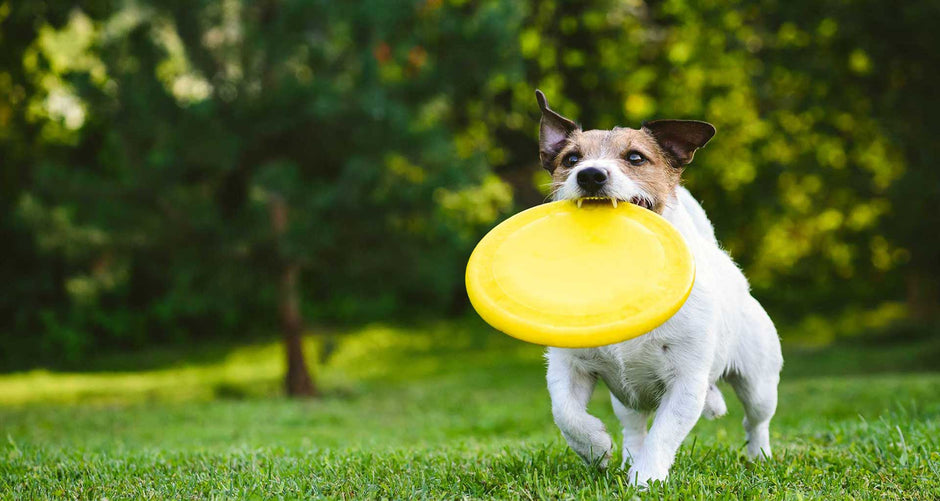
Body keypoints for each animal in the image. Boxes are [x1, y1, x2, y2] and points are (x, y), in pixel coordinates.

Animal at [536, 89, 784, 484]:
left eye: (635, 157)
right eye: (570, 159)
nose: (590, 174)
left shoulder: (686, 382)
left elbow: (664, 434)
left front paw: (645, 479)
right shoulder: (567, 366)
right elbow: (566, 414)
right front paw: (596, 448)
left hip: (758, 381)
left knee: (756, 421)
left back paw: (759, 457)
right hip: (626, 398)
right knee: (633, 427)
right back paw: (625, 457)